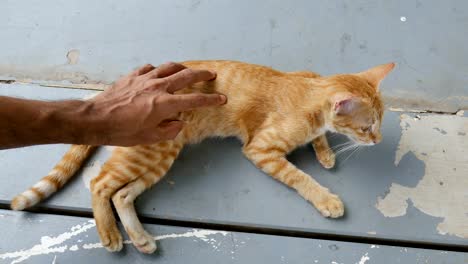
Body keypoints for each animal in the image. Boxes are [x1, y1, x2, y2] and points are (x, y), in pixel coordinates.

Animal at [11, 60, 394, 254]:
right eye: (367, 128)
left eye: (381, 121)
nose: (377, 140)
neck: (307, 94)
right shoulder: (260, 150)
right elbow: (300, 177)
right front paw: (326, 199)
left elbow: (320, 138)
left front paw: (325, 153)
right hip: (150, 150)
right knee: (100, 182)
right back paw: (110, 235)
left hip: (161, 155)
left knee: (122, 194)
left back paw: (141, 239)